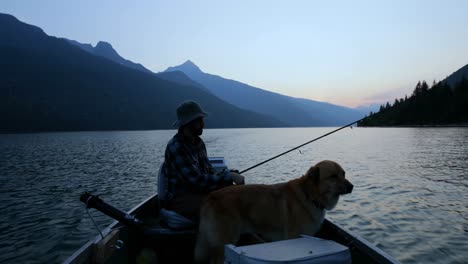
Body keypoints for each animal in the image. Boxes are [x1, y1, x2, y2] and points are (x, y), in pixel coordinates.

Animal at [195, 160, 354, 262]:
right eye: (333, 176)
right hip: (224, 241)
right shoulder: (293, 237)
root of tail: (211, 196)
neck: (309, 194)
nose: (352, 186)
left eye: (344, 173)